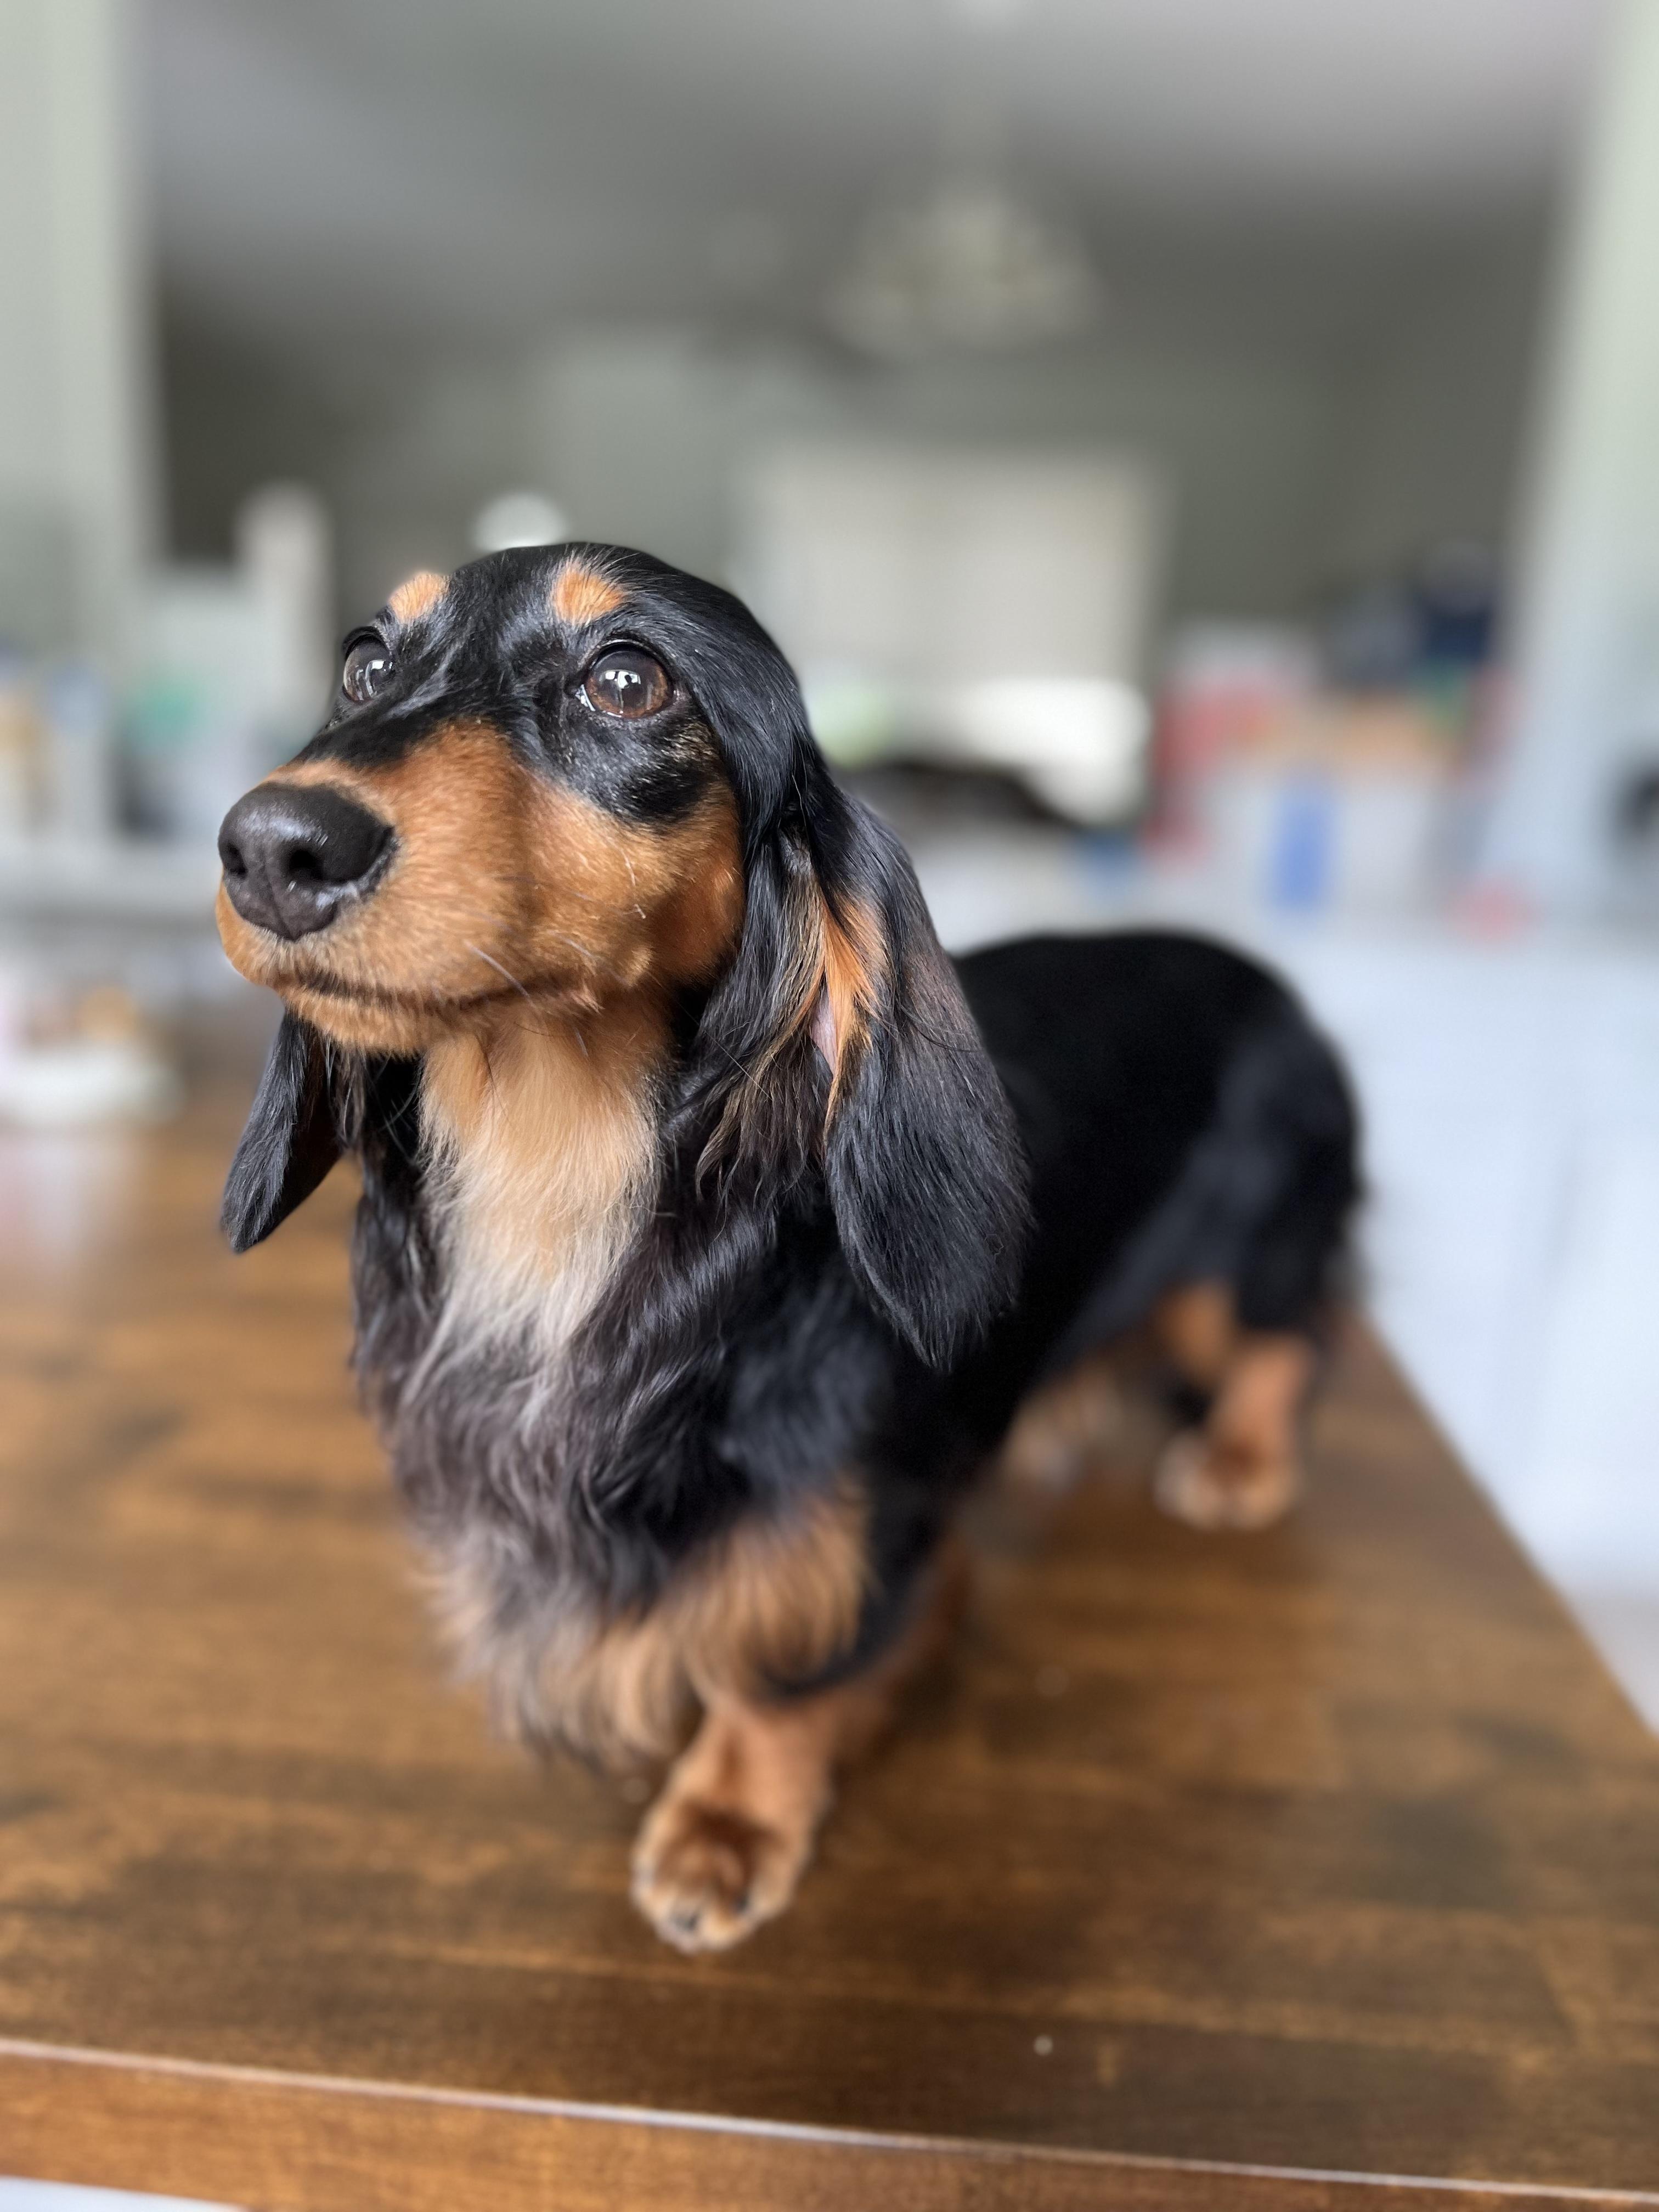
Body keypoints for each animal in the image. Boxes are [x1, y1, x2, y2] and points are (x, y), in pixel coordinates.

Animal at [215, 543, 1360, 1952]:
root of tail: (1279, 986)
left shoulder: (844, 1523)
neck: (562, 1191)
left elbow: (781, 1678)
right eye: (367, 662)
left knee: (1286, 1339)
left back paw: (1242, 1458)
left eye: (628, 680)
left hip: (1241, 1254)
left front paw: (728, 1822)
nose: (272, 847)